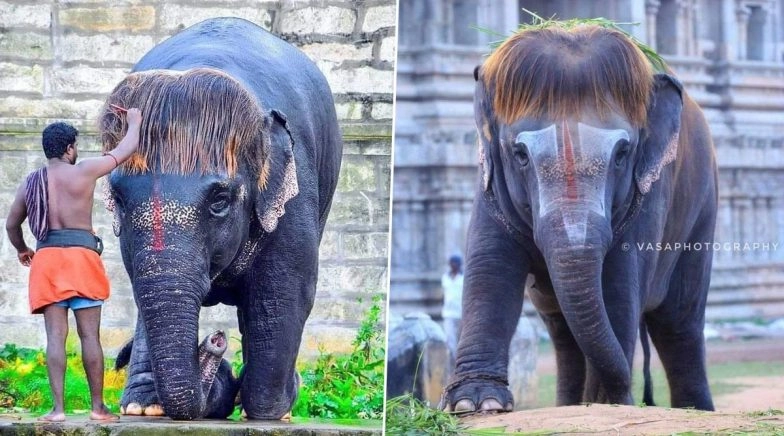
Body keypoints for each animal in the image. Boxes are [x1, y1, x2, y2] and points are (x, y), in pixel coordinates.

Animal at [99, 18, 342, 420]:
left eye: (220, 200)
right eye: (118, 199)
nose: (215, 339)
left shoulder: (296, 193)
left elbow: (284, 292)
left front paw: (268, 411)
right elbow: (141, 289)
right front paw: (143, 408)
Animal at [440, 25, 717, 413]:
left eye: (622, 154)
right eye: (520, 154)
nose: (632, 396)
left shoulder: (648, 194)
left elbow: (617, 285)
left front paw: (606, 404)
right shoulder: (489, 182)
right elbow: (490, 267)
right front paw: (476, 404)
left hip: (703, 208)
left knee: (679, 322)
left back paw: (691, 409)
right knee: (561, 330)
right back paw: (569, 403)